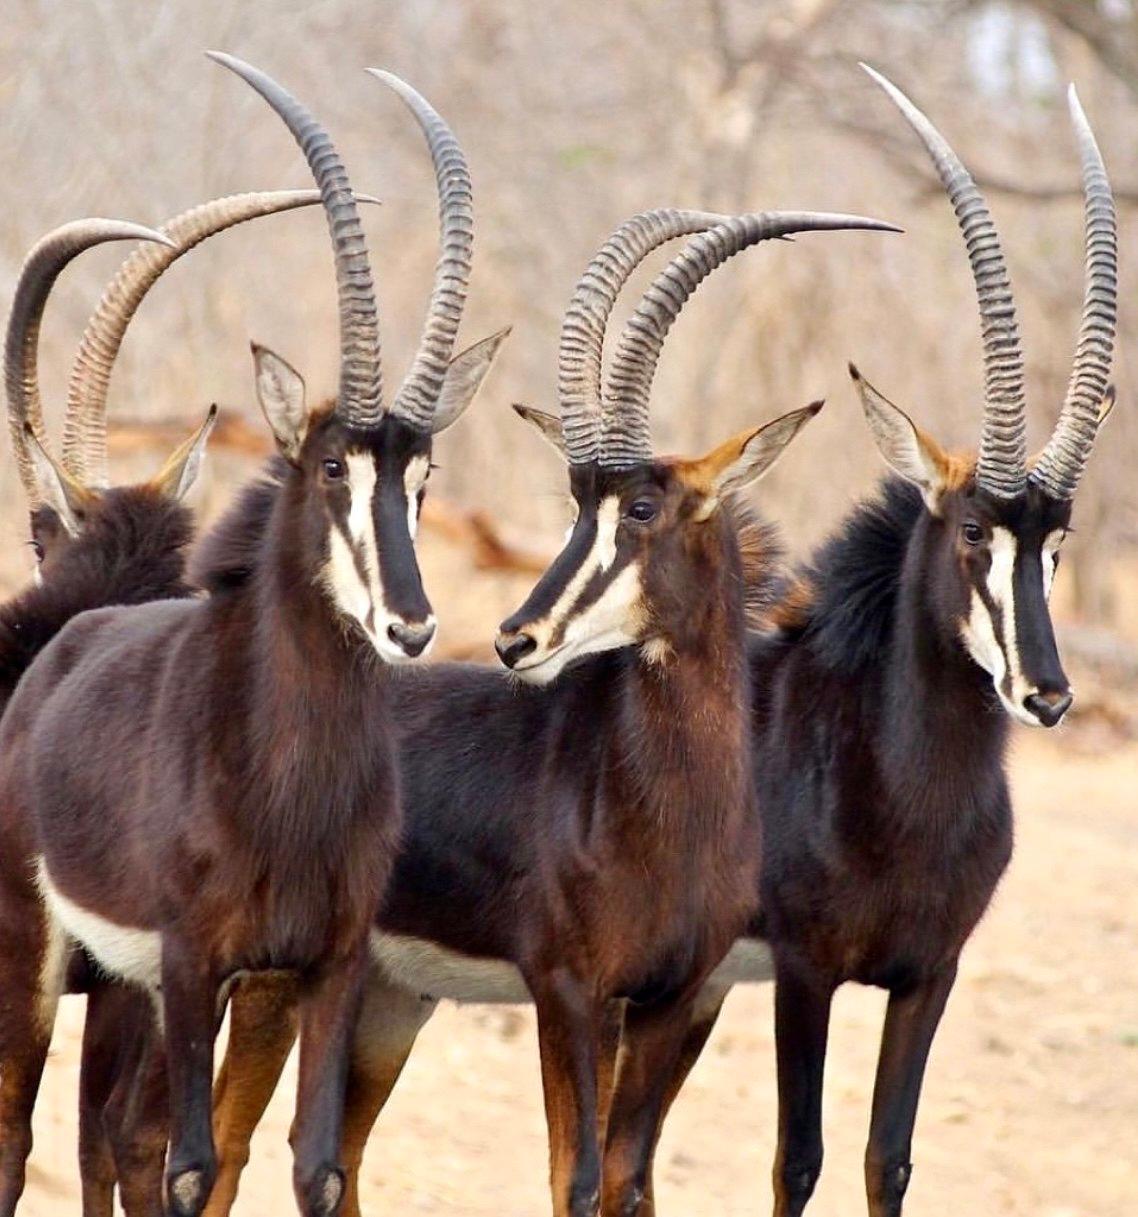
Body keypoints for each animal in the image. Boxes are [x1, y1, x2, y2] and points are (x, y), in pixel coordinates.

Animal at [0, 53, 502, 1217]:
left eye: (423, 473)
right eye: (329, 466)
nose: (412, 624)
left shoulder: (317, 967)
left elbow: (300, 1164)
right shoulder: (185, 965)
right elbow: (173, 1158)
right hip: (37, 950)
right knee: (19, 1128)